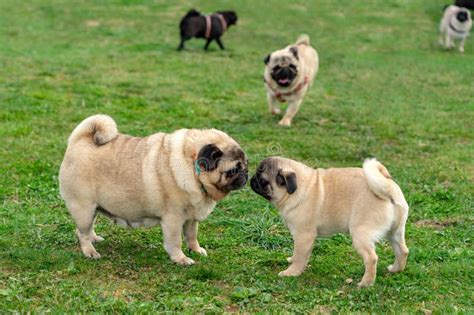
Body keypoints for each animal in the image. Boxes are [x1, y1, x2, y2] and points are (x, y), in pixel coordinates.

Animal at [59, 115, 248, 266]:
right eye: (233, 170)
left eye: (246, 164)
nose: (245, 174)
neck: (191, 168)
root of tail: (80, 140)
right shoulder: (173, 219)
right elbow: (175, 242)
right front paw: (180, 259)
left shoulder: (191, 218)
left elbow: (191, 236)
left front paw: (196, 250)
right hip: (84, 208)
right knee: (82, 232)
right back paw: (89, 251)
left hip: (93, 208)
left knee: (89, 228)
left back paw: (94, 238)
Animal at [250, 158, 410, 288]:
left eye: (262, 179)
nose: (252, 179)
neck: (299, 187)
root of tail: (388, 189)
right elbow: (298, 253)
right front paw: (292, 260)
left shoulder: (303, 235)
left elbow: (300, 256)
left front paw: (292, 272)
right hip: (395, 231)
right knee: (403, 250)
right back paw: (396, 269)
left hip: (360, 235)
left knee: (371, 258)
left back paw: (366, 283)